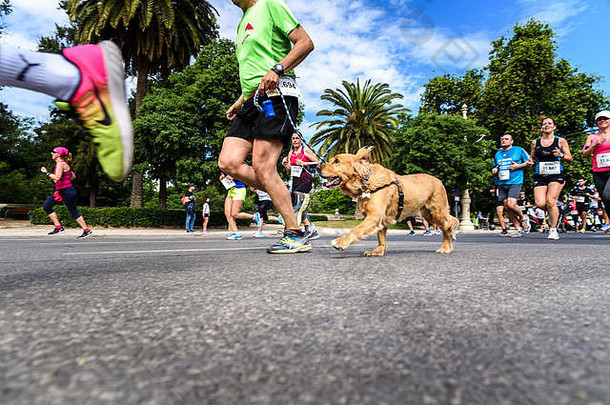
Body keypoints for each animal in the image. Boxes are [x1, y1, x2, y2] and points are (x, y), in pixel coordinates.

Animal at [318, 146, 456, 256]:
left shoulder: (374, 216)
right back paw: (448, 245)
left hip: (436, 210)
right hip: (428, 214)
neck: (366, 181)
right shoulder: (380, 219)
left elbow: (355, 230)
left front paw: (340, 242)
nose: (318, 167)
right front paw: (378, 251)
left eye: (336, 161)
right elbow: (381, 238)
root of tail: (439, 181)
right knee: (447, 224)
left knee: (450, 222)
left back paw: (446, 245)